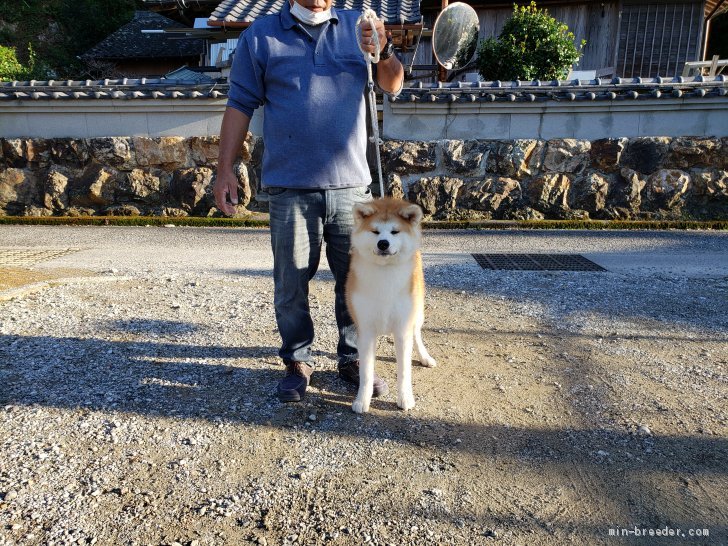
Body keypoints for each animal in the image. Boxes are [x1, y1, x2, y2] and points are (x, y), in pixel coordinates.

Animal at [344, 197, 436, 412]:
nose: (383, 243)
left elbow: (404, 371)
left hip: (417, 313)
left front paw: (405, 398)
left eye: (395, 231)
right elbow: (366, 372)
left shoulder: (403, 327)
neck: (385, 275)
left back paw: (424, 356)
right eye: (375, 232)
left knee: (417, 335)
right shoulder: (366, 329)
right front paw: (362, 400)